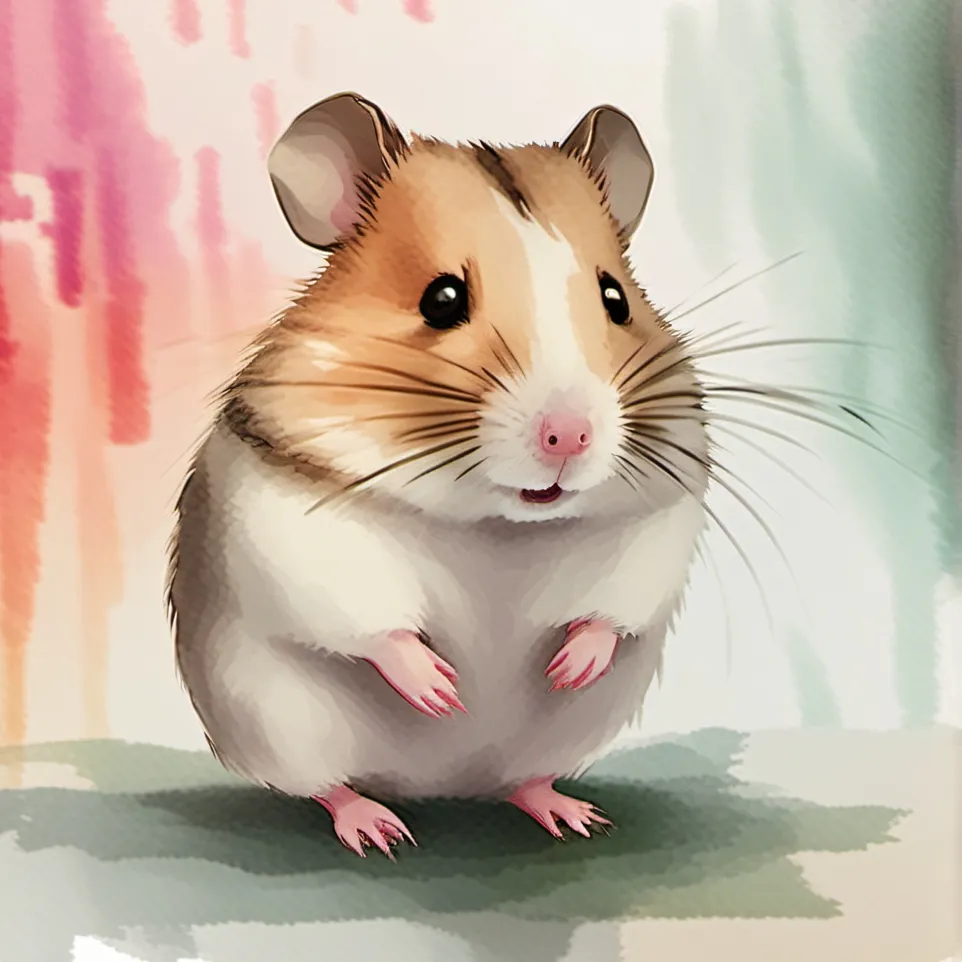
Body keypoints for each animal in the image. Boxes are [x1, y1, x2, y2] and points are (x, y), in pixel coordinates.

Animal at [166, 91, 710, 858]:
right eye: (442, 299)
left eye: (616, 300)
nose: (569, 435)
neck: (501, 525)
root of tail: (442, 786)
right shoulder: (298, 522)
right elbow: (373, 625)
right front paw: (441, 690)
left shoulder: (656, 520)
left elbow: (615, 608)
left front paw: (566, 668)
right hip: (281, 727)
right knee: (328, 786)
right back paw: (379, 831)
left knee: (524, 780)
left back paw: (573, 816)